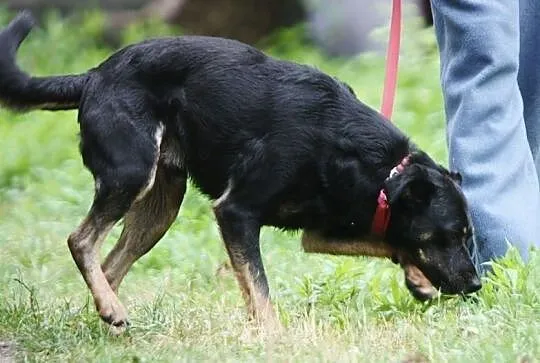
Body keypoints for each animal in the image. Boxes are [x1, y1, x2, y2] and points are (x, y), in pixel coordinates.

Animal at [0, 13, 480, 332]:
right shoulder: (235, 212)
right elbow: (260, 288)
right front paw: (272, 336)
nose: (475, 284)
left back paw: (108, 314)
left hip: (160, 208)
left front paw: (418, 279)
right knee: (81, 240)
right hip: (131, 172)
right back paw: (111, 307)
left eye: (467, 236)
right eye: (449, 235)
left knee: (110, 261)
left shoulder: (321, 229)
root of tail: (94, 75)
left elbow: (386, 241)